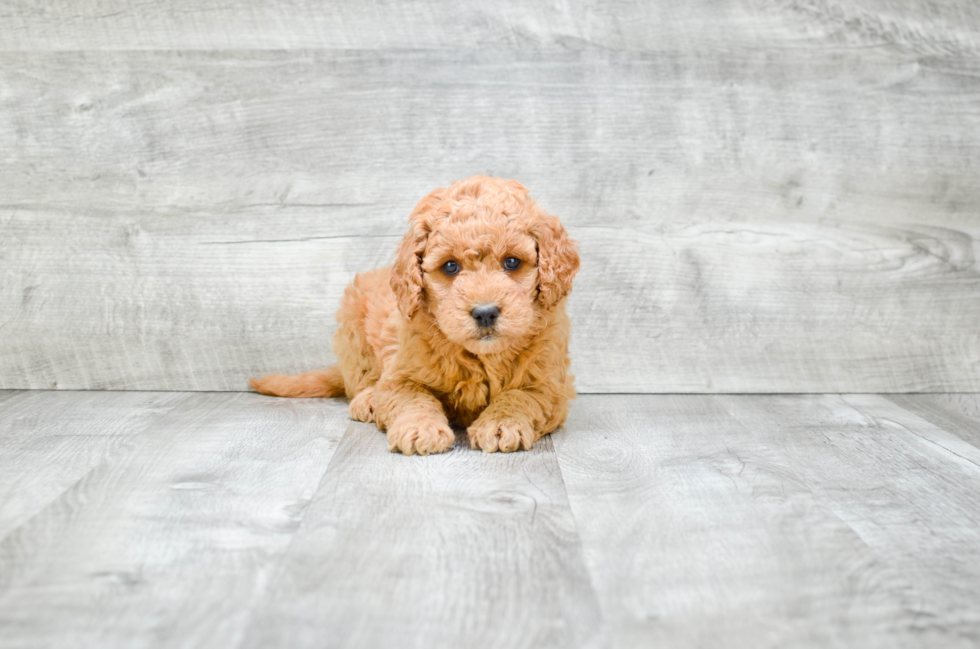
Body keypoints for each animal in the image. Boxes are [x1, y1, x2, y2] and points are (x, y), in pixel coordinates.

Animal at [249, 175, 580, 454]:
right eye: (450, 266)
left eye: (512, 262)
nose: (485, 313)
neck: (480, 357)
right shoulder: (401, 373)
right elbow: (412, 398)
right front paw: (421, 428)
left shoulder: (550, 384)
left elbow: (521, 397)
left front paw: (501, 424)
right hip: (352, 329)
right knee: (360, 379)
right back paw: (368, 401)